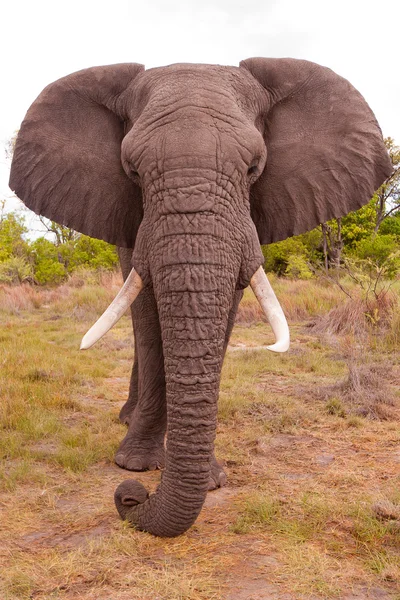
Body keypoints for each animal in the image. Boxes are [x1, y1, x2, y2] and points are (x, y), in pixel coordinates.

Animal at [8, 56, 390, 536]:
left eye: (254, 168)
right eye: (132, 171)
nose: (130, 498)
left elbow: (223, 317)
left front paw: (209, 480)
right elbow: (148, 316)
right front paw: (135, 466)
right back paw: (128, 420)